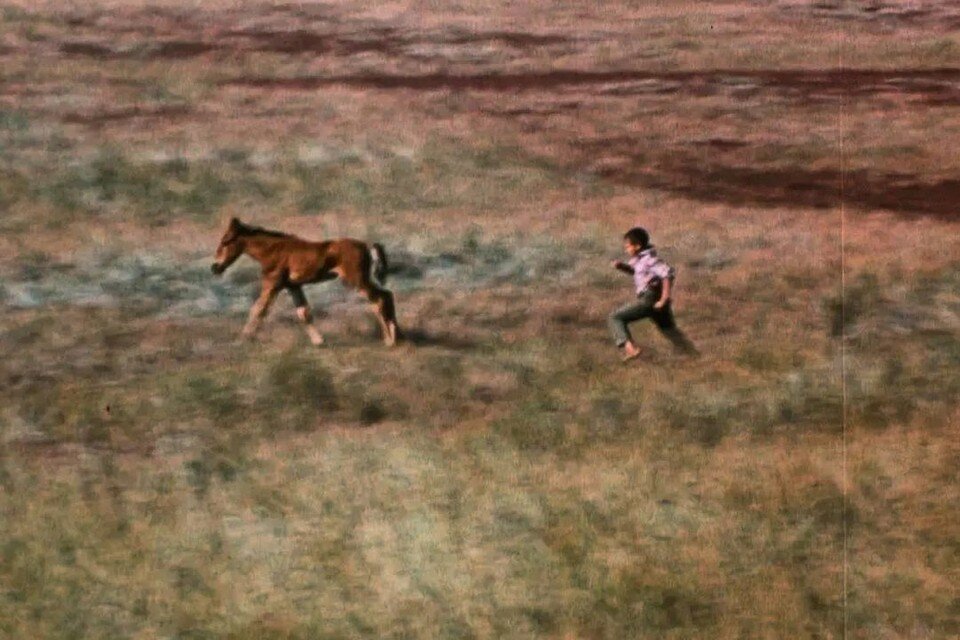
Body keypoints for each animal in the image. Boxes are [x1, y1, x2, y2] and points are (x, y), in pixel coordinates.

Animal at [212, 218, 400, 344]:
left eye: (225, 241)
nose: (215, 267)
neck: (272, 250)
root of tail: (367, 246)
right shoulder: (293, 286)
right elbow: (304, 313)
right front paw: (319, 341)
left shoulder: (272, 283)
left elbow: (258, 310)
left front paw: (243, 339)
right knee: (386, 296)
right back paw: (395, 334)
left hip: (356, 280)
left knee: (379, 299)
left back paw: (390, 340)